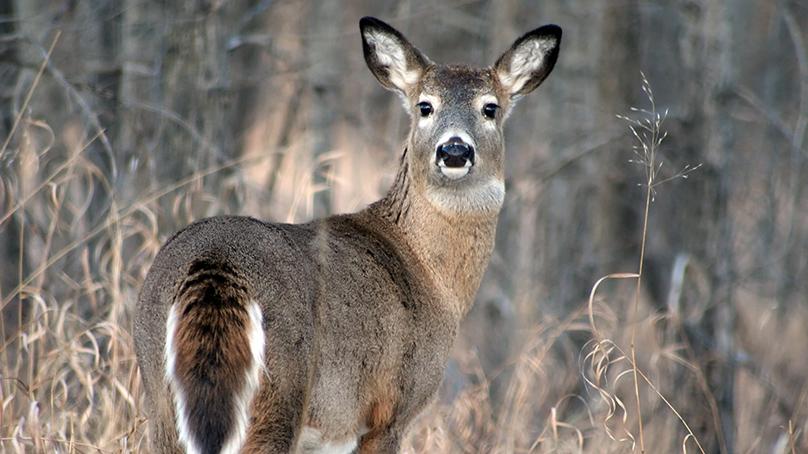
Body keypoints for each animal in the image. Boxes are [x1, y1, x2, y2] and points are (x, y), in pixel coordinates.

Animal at [134, 16, 561, 454]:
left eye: (490, 108)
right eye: (425, 106)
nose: (454, 150)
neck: (433, 277)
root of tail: (215, 264)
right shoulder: (391, 409)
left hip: (157, 391)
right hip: (280, 396)